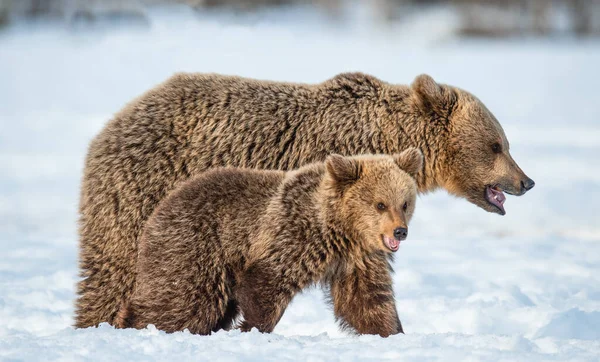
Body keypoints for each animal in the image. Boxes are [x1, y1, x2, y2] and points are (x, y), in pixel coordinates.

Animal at [75, 71, 536, 328]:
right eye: (496, 144)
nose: (526, 181)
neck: (389, 137)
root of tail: (111, 125)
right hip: (142, 188)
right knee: (118, 273)